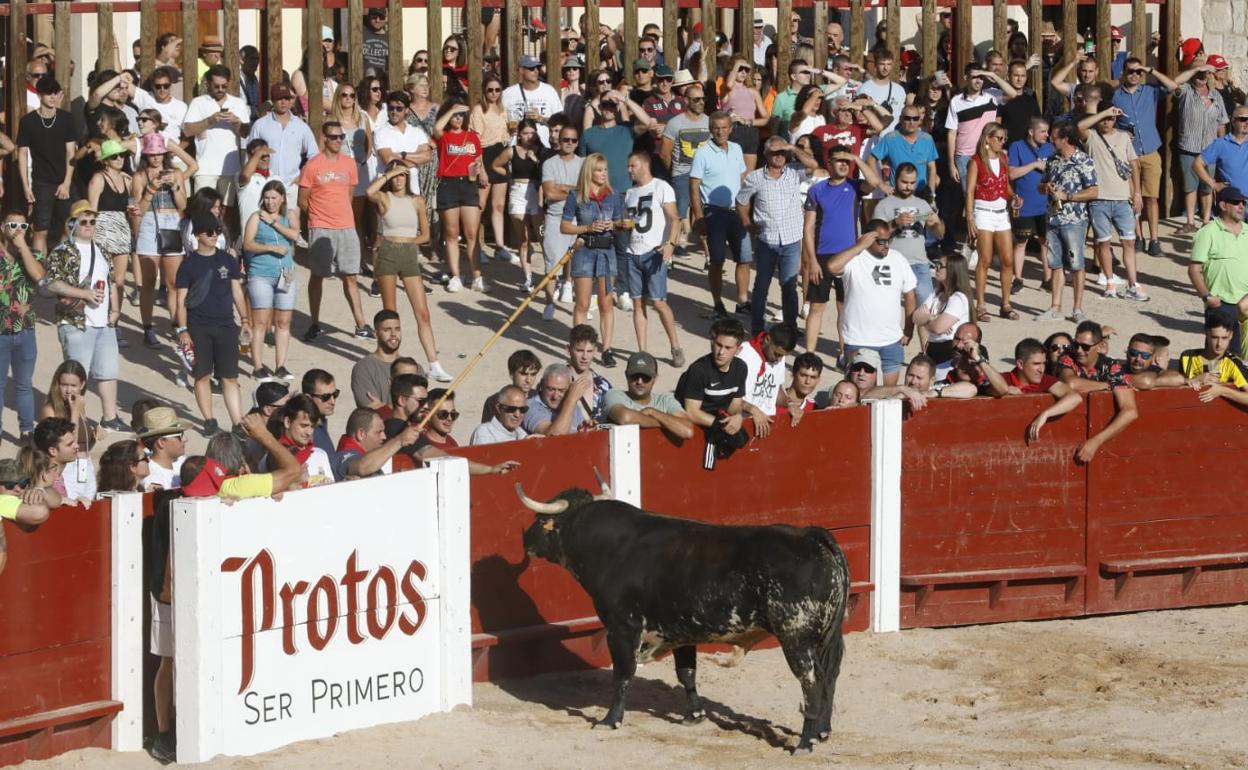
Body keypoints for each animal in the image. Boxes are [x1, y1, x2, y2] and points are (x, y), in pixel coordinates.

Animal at [514, 479, 848, 748]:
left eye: (542, 520)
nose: (525, 539)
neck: (614, 547)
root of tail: (810, 536)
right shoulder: (680, 631)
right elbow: (686, 672)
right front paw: (694, 715)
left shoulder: (621, 628)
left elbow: (624, 673)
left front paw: (610, 720)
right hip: (828, 637)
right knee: (831, 675)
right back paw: (823, 732)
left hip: (796, 637)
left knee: (811, 680)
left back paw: (805, 741)